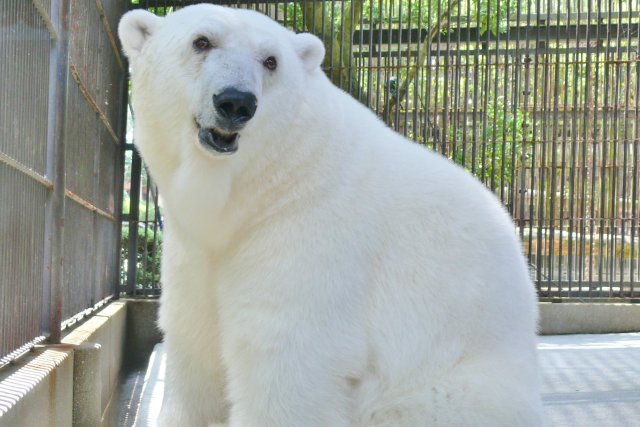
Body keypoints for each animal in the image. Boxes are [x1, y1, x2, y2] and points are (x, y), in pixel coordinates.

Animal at [119, 4, 540, 427]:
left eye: (271, 61)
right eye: (201, 41)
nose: (236, 102)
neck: (256, 190)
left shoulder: (310, 233)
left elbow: (282, 355)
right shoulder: (193, 244)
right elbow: (194, 332)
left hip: (447, 390)